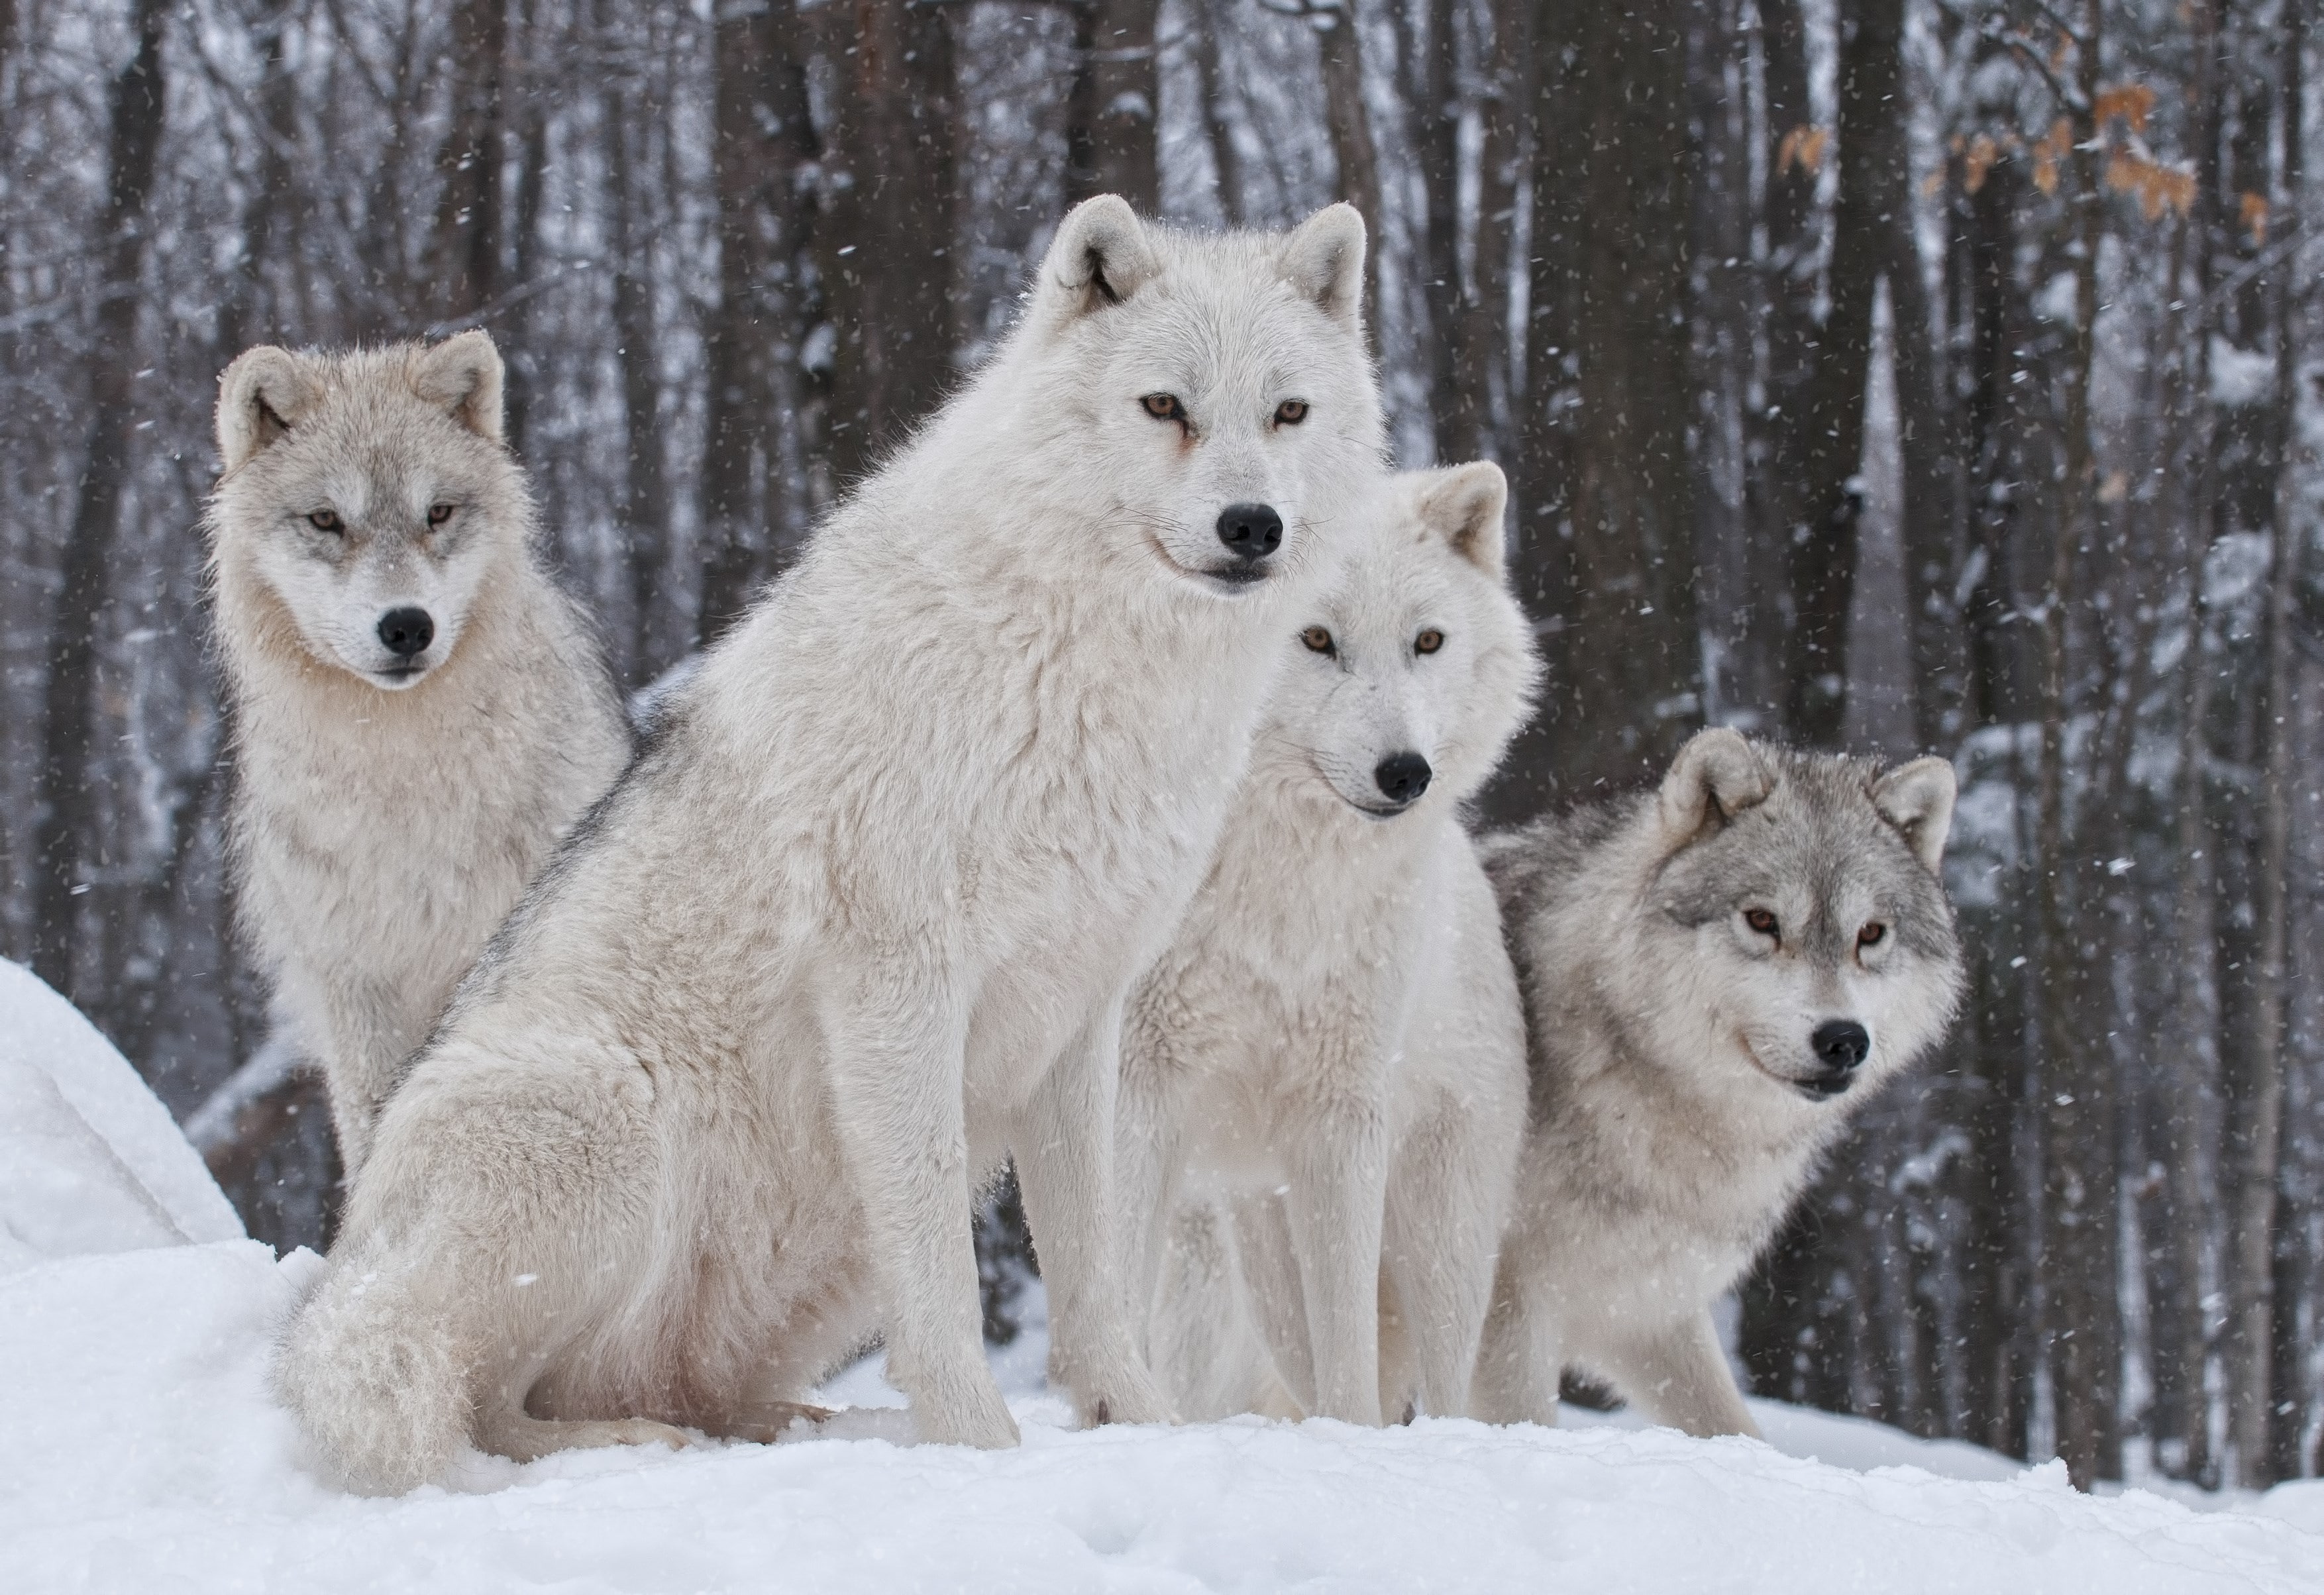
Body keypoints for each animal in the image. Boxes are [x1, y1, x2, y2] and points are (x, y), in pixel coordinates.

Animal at [275, 197, 1389, 1492]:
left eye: (1287, 412)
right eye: (1165, 406)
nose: (1251, 525)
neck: (1080, 669)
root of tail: (340, 1280)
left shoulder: (1081, 1009)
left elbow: (1095, 1268)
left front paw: (1139, 1426)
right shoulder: (897, 986)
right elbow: (943, 1271)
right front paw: (979, 1448)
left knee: (681, 1392)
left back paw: (803, 1429)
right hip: (607, 1115)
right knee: (481, 1401)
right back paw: (635, 1444)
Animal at [1120, 462, 1539, 1427]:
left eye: (1428, 641)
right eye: (1313, 638)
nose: (1406, 774)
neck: (1275, 887)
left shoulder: (1343, 1118)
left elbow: (1349, 1351)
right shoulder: (1137, 1089)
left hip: (1439, 1240)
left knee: (1440, 1385)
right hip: (1254, 1257)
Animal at [1469, 729, 1963, 1438]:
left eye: (1870, 934)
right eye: (1761, 921)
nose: (1843, 1040)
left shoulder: (1647, 1310)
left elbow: (1734, 1429)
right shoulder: (1505, 1307)